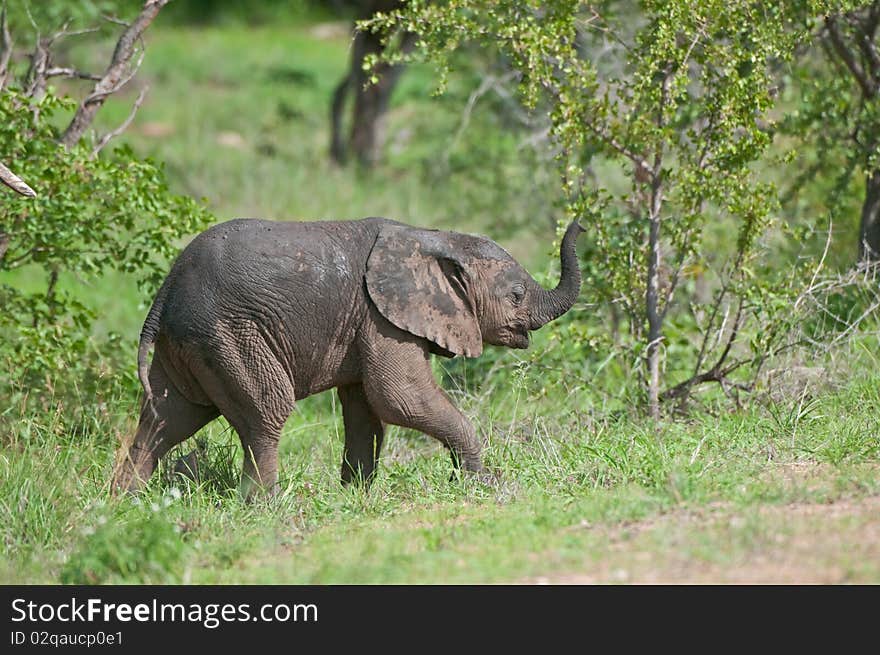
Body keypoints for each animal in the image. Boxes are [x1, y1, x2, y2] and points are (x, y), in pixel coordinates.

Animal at [115, 215, 584, 498]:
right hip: (228, 333)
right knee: (266, 412)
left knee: (166, 418)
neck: (433, 237)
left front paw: (356, 497)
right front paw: (484, 483)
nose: (579, 224)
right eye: (516, 295)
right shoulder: (382, 319)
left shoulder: (367, 322)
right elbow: (400, 399)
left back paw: (124, 502)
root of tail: (165, 291)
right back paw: (267, 507)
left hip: (190, 342)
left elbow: (366, 411)